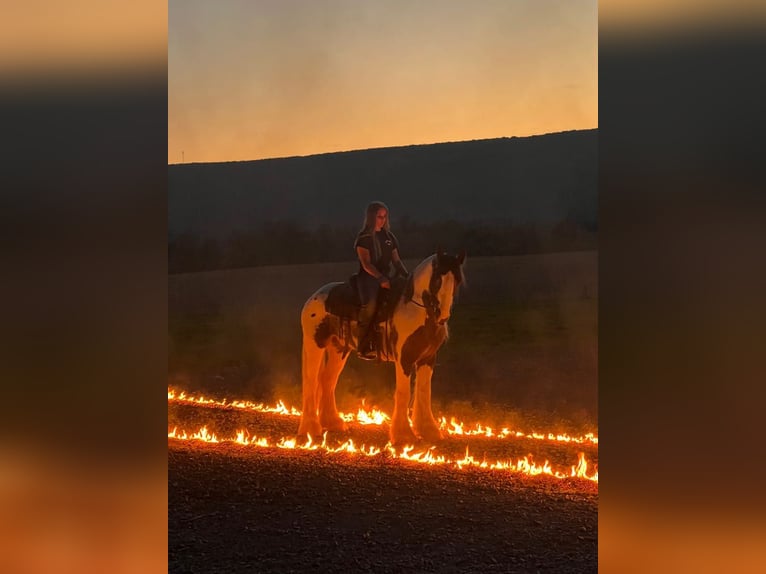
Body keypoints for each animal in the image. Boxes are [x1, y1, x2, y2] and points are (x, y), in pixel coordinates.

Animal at [296, 250, 464, 448]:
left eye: (457, 281)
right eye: (437, 280)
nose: (443, 316)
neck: (415, 308)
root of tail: (315, 297)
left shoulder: (428, 358)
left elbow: (424, 391)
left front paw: (429, 431)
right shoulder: (404, 359)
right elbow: (404, 393)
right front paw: (403, 435)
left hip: (338, 350)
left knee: (327, 380)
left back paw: (332, 423)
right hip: (315, 345)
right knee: (311, 380)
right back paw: (310, 429)